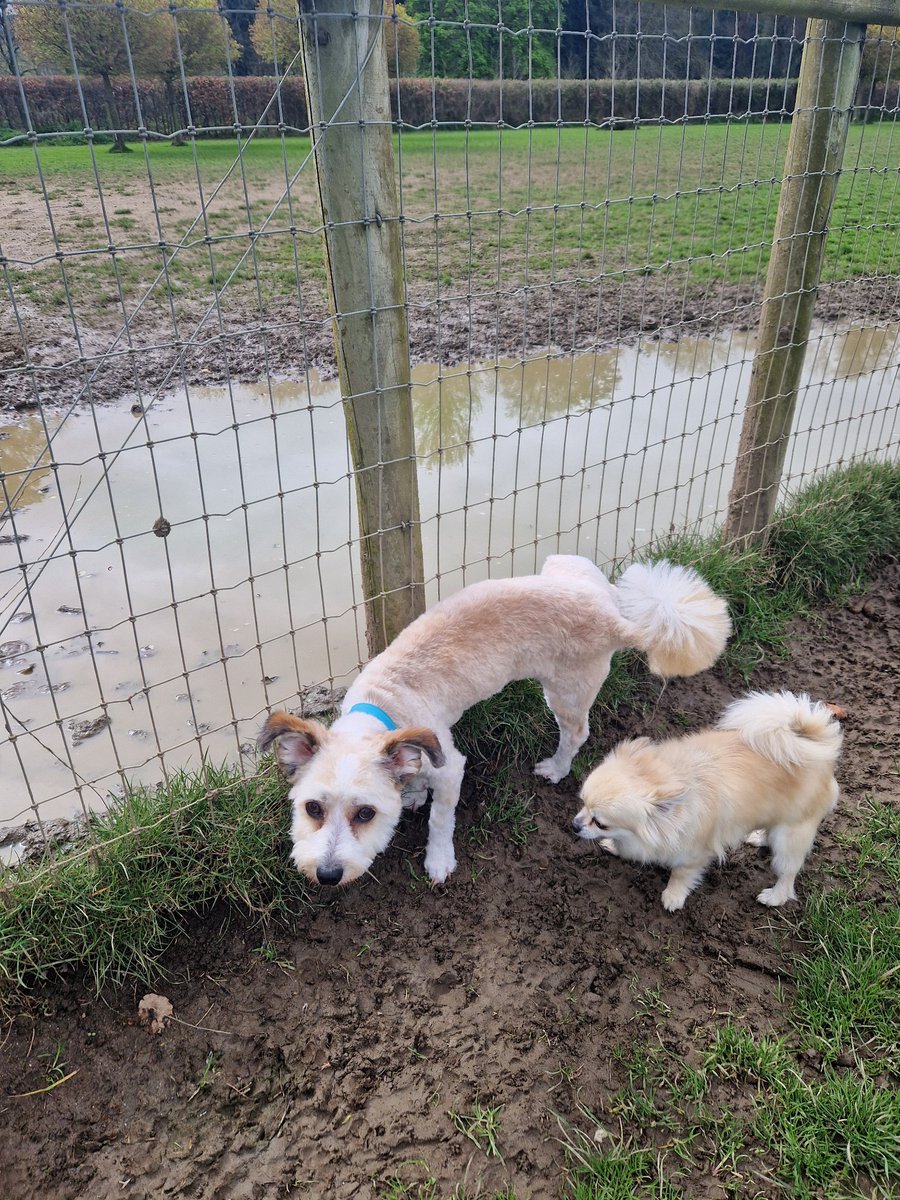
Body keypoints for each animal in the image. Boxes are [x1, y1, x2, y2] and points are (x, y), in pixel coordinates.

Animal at [259, 556, 734, 888]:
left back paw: (557, 768)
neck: (380, 706)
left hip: (566, 689)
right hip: (566, 566)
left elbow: (440, 820)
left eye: (365, 813)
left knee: (576, 732)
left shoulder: (450, 766)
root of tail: (617, 621)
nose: (327, 875)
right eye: (312, 808)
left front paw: (438, 860)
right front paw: (413, 792)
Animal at [578, 696, 844, 907]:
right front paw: (614, 847)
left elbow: (681, 874)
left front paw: (673, 896)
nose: (574, 824)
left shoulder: (694, 854)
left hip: (790, 836)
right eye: (582, 803)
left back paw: (774, 897)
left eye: (600, 823)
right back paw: (759, 837)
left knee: (788, 872)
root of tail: (816, 746)